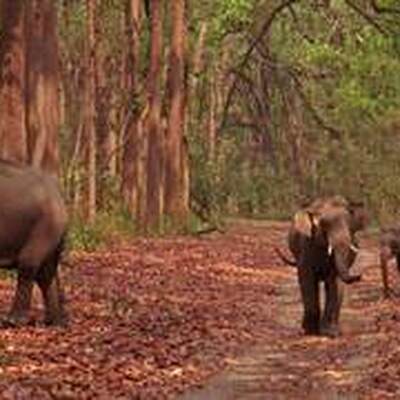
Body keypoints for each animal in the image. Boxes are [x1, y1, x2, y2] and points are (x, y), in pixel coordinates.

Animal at [0, 159, 68, 328]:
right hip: (52, 231)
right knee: (46, 273)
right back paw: (55, 322)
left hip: (43, 227)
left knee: (29, 265)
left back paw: (13, 321)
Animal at [276, 195, 368, 336]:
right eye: (325, 228)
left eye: (350, 227)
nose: (360, 276)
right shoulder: (307, 246)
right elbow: (307, 280)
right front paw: (310, 331)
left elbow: (333, 283)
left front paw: (330, 333)